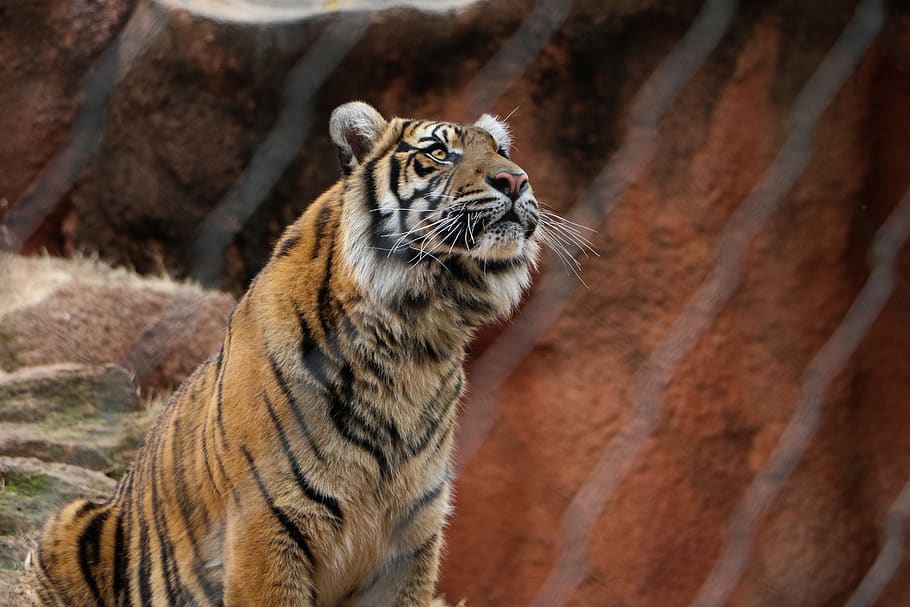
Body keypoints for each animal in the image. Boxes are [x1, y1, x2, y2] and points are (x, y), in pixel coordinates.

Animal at [35, 101, 545, 607]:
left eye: (501, 151)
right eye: (438, 152)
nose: (515, 180)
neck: (417, 336)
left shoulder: (411, 542)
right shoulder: (266, 526)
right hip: (61, 527)